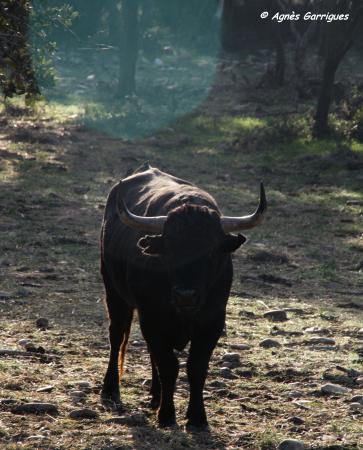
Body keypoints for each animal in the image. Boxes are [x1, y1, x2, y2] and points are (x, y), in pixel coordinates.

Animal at [100, 165, 268, 428]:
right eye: (169, 249)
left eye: (211, 251)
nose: (186, 295)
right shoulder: (152, 319)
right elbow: (169, 366)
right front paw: (167, 415)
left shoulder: (212, 322)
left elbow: (195, 367)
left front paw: (197, 417)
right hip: (113, 290)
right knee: (117, 335)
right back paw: (111, 390)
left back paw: (156, 395)